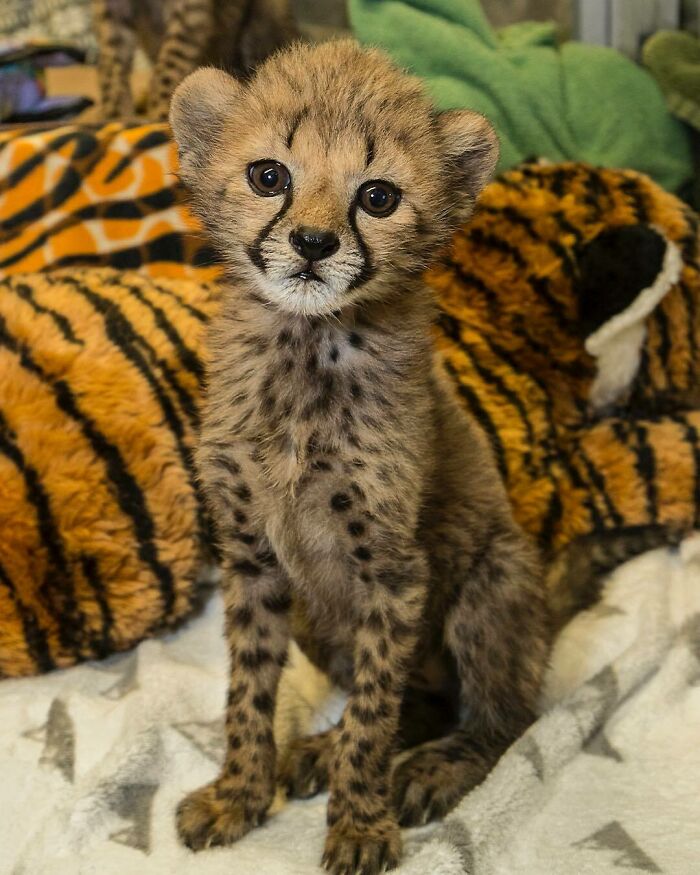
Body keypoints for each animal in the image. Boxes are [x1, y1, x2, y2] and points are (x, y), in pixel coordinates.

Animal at [170, 39, 551, 875]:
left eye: (377, 197)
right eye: (269, 176)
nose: (314, 244)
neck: (307, 343)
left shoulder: (394, 571)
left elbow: (377, 707)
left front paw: (360, 823)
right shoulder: (253, 558)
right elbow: (249, 691)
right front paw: (239, 794)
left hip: (490, 588)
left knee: (501, 718)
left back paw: (431, 765)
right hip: (318, 620)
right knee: (424, 703)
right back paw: (317, 749)